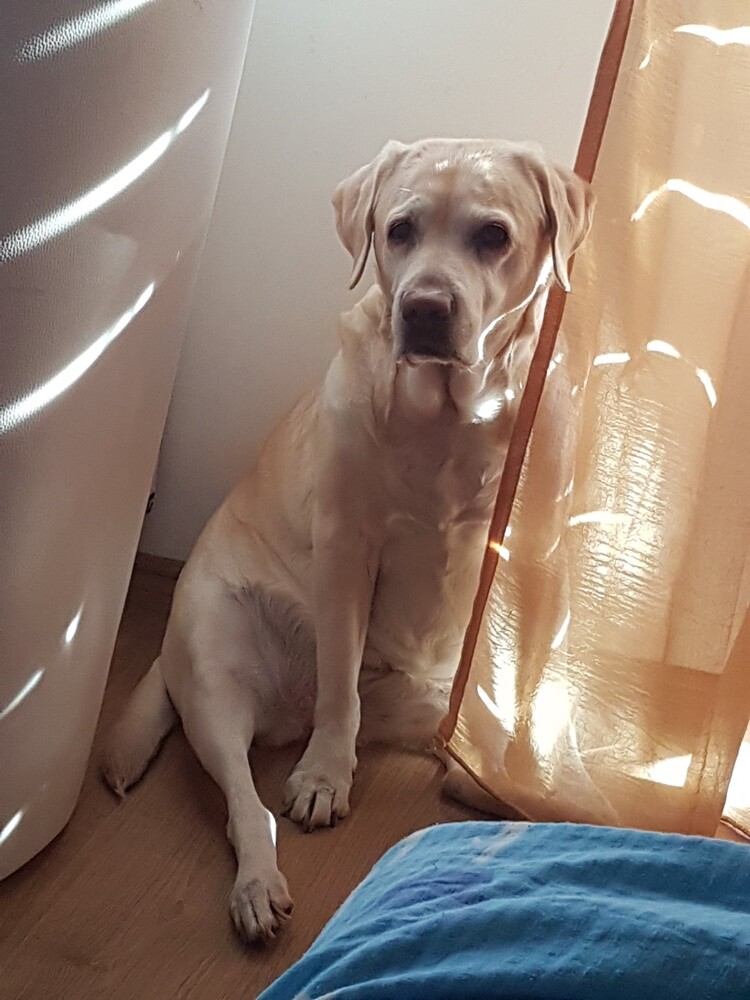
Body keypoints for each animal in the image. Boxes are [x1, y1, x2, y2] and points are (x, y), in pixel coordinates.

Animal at [102, 138, 593, 943]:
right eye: (400, 230)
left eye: (493, 235)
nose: (424, 308)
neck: (451, 416)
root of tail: (283, 716)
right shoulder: (345, 551)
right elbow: (339, 685)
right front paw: (325, 777)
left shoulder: (535, 561)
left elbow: (524, 692)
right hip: (213, 670)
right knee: (248, 806)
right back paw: (257, 884)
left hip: (427, 701)